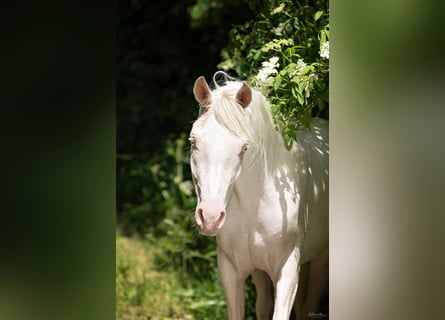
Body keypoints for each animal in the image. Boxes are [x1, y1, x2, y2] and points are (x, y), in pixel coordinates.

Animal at [187, 73, 326, 320]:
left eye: (244, 148)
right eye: (193, 142)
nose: (210, 218)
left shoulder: (288, 271)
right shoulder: (230, 270)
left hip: (321, 259)